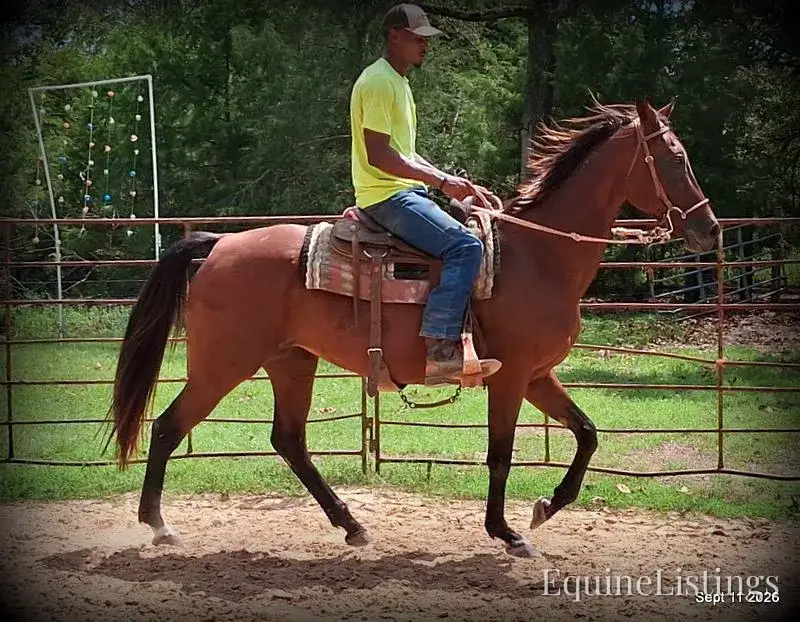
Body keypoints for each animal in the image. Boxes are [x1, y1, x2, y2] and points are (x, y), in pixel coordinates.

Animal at [107, 98, 719, 557]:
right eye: (674, 158)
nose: (710, 229)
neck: (538, 257)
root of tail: (218, 244)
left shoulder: (538, 375)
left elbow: (588, 433)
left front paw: (545, 509)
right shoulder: (511, 376)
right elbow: (501, 454)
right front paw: (507, 533)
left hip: (291, 360)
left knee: (289, 440)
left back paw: (352, 525)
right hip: (223, 363)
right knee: (168, 427)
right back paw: (159, 525)